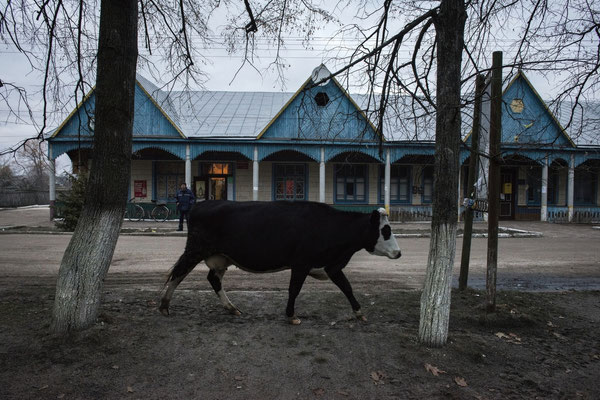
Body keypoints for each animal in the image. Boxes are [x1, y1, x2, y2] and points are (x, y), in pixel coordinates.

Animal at [162, 202, 400, 324]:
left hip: (221, 257)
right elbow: (294, 289)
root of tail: (202, 204)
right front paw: (291, 315)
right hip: (195, 250)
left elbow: (347, 287)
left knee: (213, 279)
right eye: (386, 231)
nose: (398, 252)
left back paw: (232, 308)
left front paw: (359, 313)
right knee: (178, 273)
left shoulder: (331, 266)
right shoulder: (301, 263)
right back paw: (164, 305)